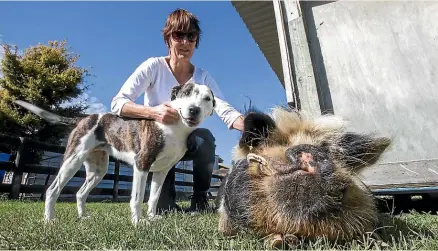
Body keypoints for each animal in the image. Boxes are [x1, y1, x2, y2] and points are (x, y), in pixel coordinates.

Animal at [14, 82, 216, 226]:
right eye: (186, 93)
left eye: (207, 99)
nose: (194, 110)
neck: (175, 127)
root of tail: (84, 118)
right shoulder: (142, 164)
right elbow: (137, 198)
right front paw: (138, 222)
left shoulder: (162, 171)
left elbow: (153, 197)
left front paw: (152, 217)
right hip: (73, 160)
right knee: (53, 189)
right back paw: (49, 220)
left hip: (98, 170)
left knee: (80, 193)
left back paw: (83, 217)